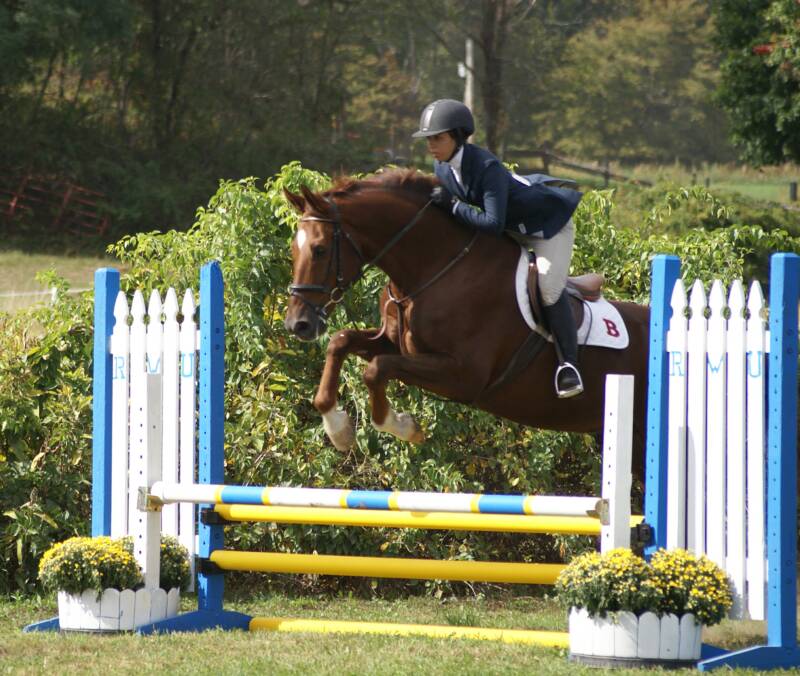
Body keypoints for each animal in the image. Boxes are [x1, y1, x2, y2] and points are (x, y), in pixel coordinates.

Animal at [282, 169, 648, 476]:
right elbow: (340, 341)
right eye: (293, 250)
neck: (436, 267)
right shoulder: (396, 343)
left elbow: (377, 369)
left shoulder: (463, 376)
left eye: (319, 249)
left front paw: (402, 426)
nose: (297, 324)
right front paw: (338, 430)